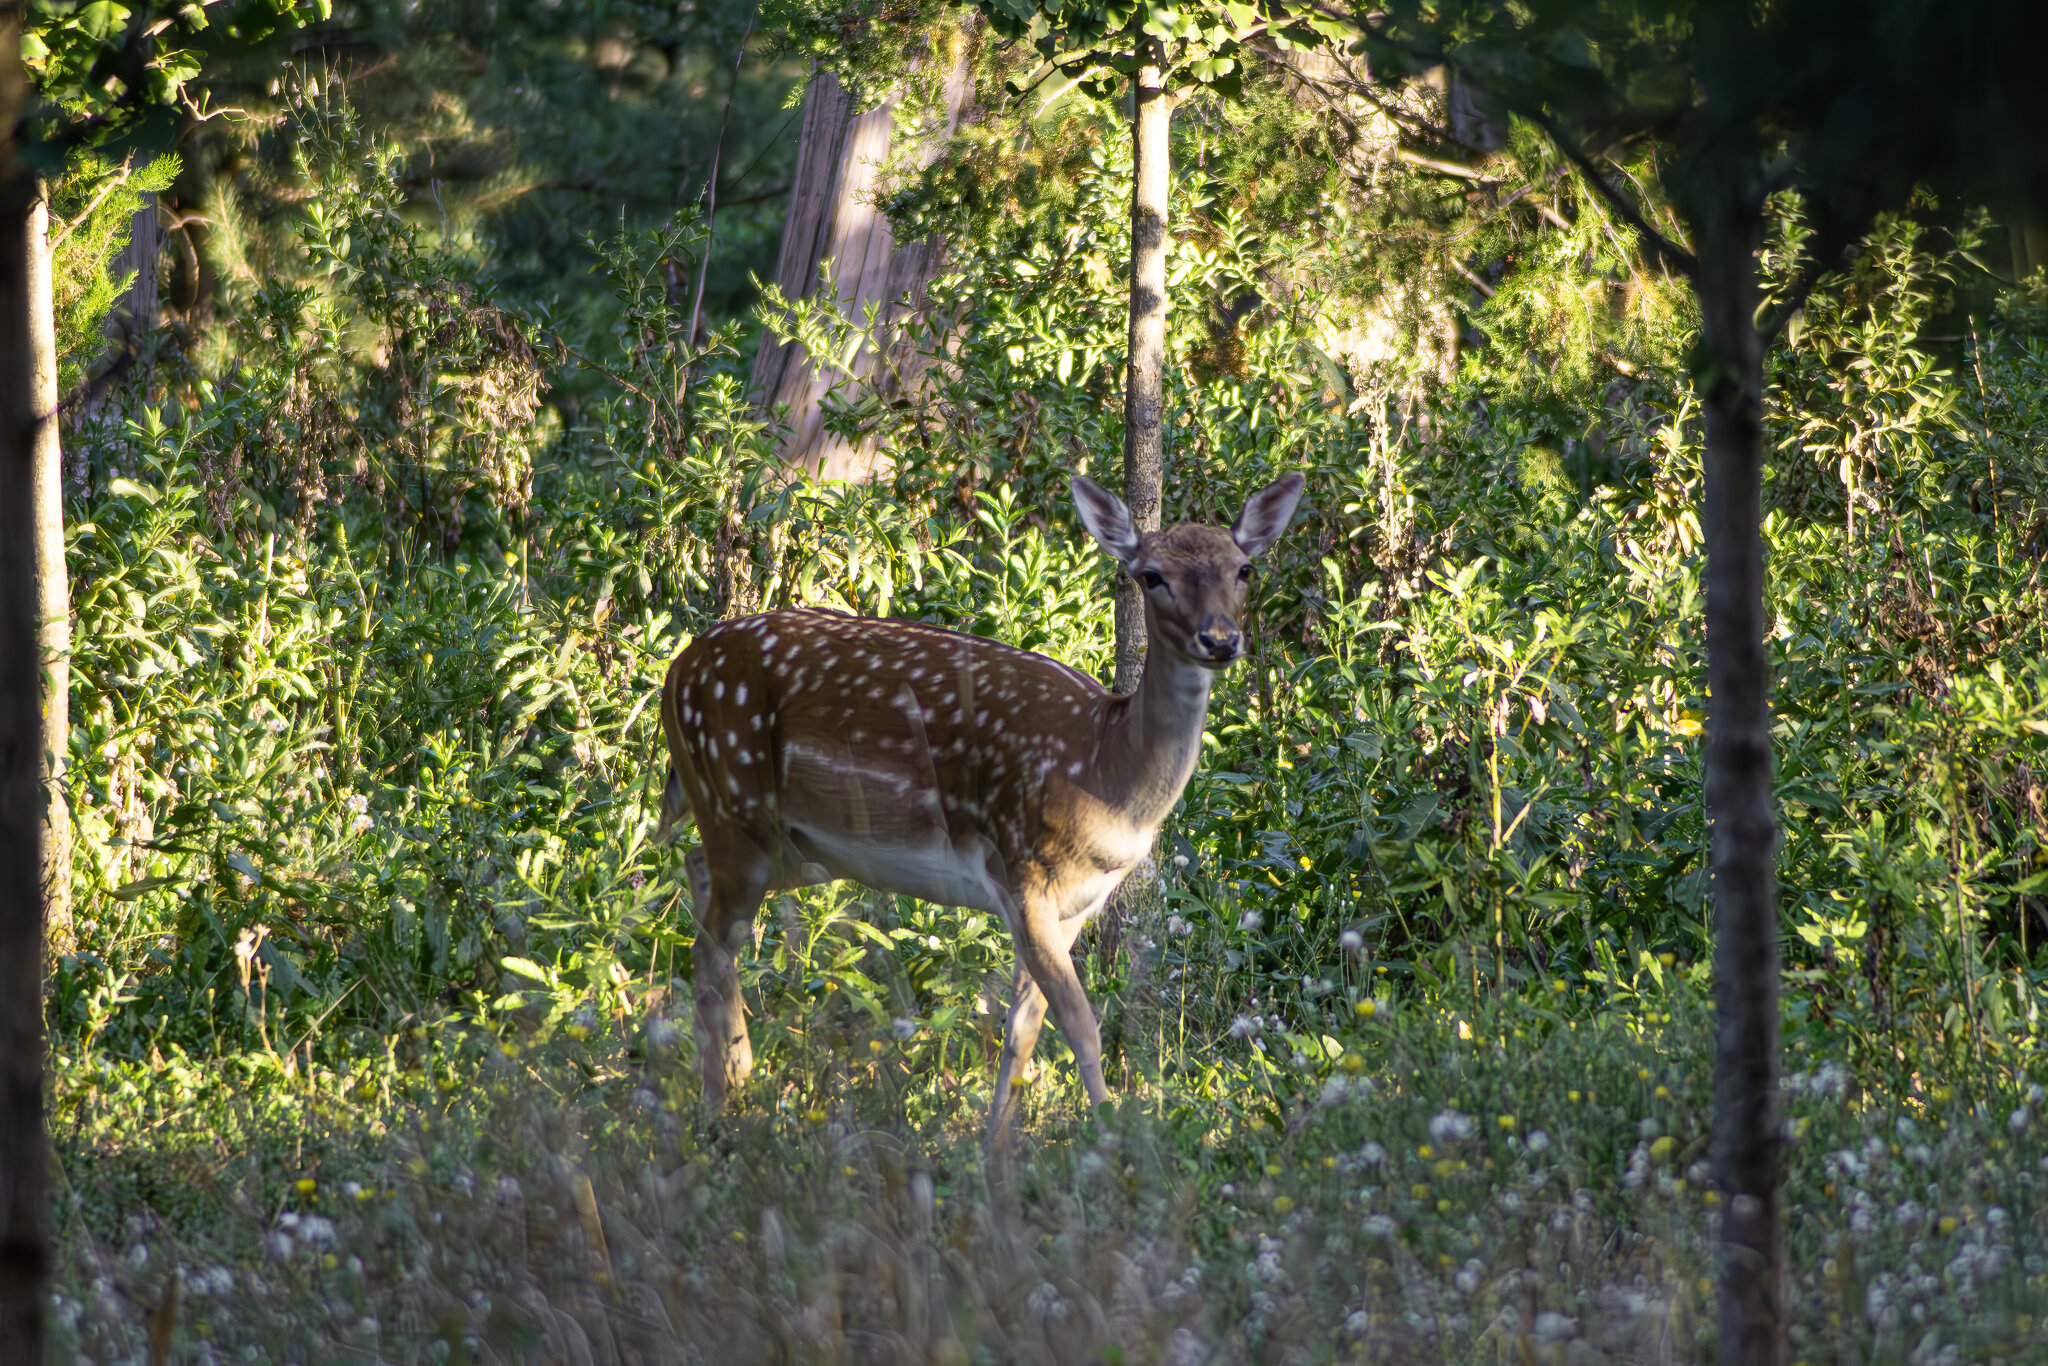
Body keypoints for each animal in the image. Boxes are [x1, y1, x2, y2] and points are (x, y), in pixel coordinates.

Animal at [656, 471, 1306, 1138]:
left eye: (1244, 568)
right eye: (1151, 575)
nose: (1220, 639)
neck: (1106, 775)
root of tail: (674, 672)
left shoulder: (1076, 905)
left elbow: (1024, 1029)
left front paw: (997, 1141)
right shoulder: (1023, 870)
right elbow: (1080, 1025)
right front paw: (1108, 1135)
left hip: (795, 848)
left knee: (700, 888)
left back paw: (733, 1079)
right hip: (735, 796)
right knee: (707, 948)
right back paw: (719, 1103)